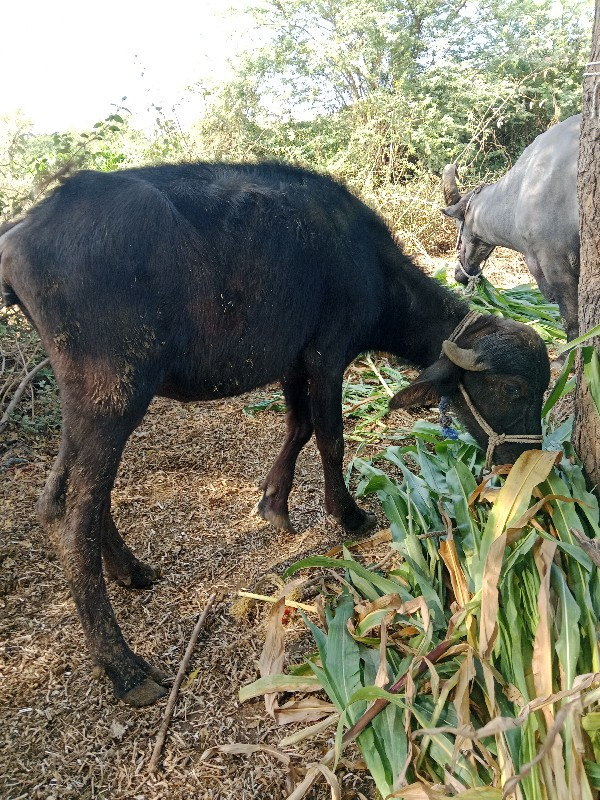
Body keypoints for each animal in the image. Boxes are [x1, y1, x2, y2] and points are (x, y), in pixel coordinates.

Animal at [0, 164, 552, 708]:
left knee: (69, 497)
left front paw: (274, 503)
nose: (524, 459)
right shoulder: (328, 355)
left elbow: (299, 427)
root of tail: (22, 231)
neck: (367, 265)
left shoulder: (294, 360)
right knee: (72, 515)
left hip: (90, 405)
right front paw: (349, 515)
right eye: (513, 387)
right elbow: (330, 436)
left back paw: (132, 571)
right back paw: (124, 668)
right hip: (113, 393)